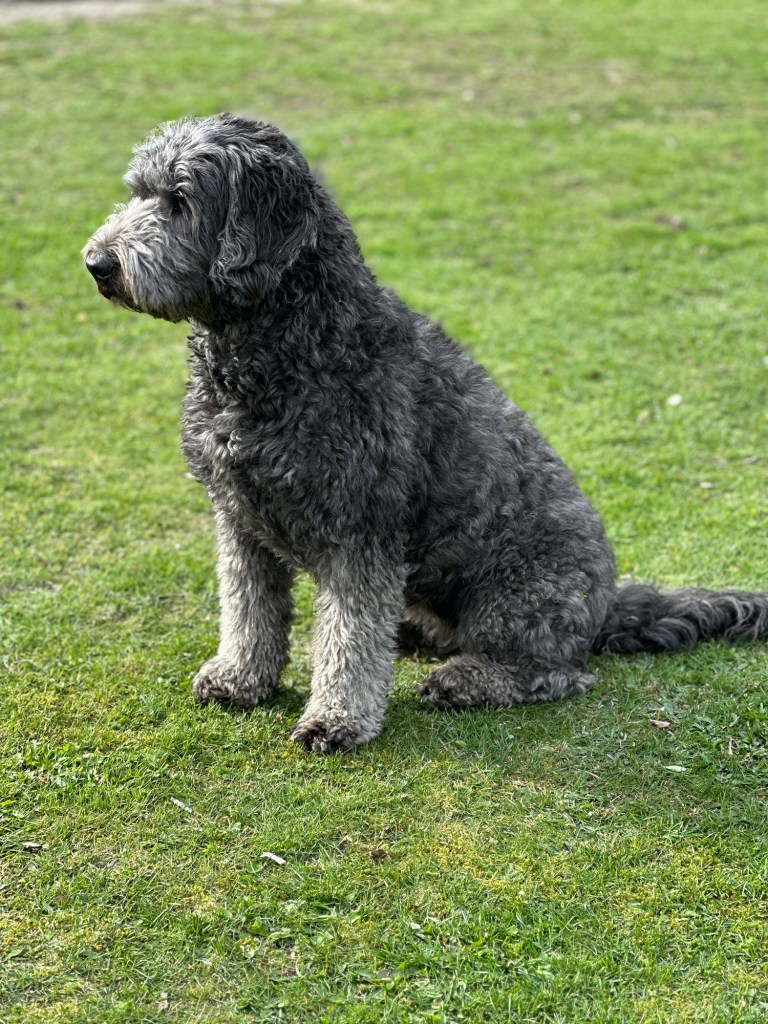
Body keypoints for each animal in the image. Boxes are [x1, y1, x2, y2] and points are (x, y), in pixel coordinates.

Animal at [84, 113, 768, 752]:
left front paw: (336, 719)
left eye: (180, 200)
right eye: (138, 192)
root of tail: (607, 603)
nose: (97, 262)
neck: (290, 348)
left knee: (555, 673)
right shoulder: (239, 519)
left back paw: (467, 679)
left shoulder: (360, 531)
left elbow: (349, 637)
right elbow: (248, 611)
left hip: (515, 593)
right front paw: (240, 679)